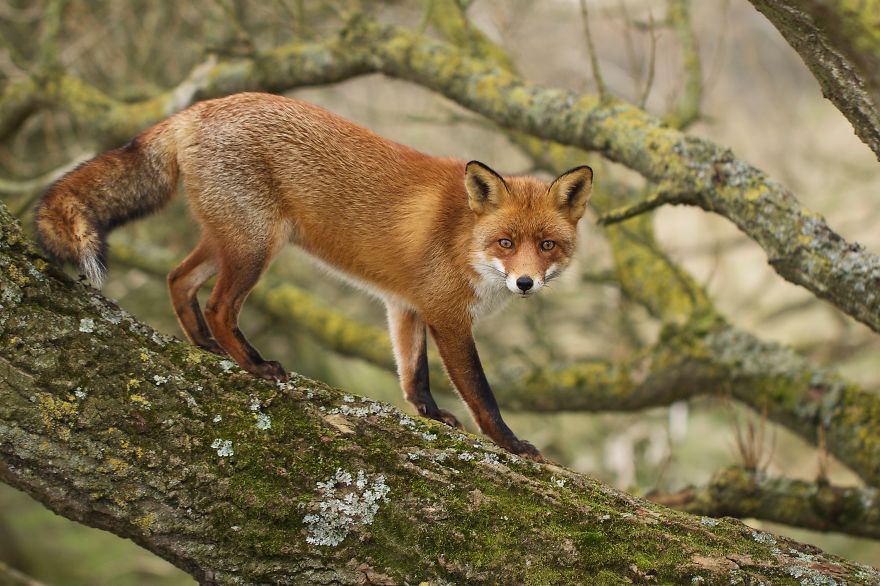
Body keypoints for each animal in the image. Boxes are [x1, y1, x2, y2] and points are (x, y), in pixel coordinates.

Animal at [35, 92, 592, 459]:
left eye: (547, 246)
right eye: (506, 244)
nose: (525, 283)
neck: (464, 238)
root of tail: (202, 107)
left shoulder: (405, 305)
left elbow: (413, 375)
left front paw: (431, 415)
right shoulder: (447, 316)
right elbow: (480, 393)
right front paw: (511, 443)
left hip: (229, 242)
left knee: (177, 278)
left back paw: (204, 346)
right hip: (255, 249)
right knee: (218, 306)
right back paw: (255, 365)